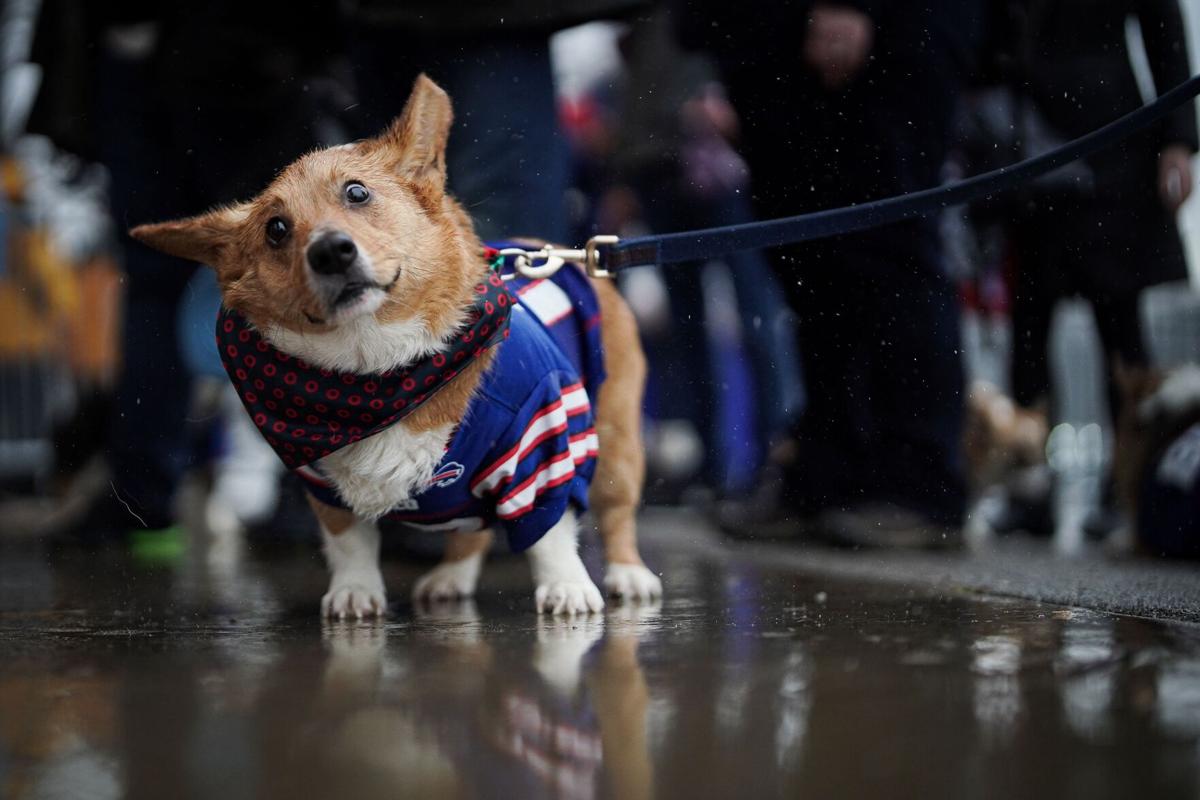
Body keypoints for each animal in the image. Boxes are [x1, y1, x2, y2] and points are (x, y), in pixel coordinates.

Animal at [131, 74, 667, 618]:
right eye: (276, 229)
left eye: (357, 192)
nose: (331, 251)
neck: (380, 372)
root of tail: (551, 251)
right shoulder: (324, 487)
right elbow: (350, 543)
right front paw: (355, 592)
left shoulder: (541, 449)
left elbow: (549, 534)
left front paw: (567, 586)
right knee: (470, 533)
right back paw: (451, 579)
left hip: (617, 442)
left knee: (616, 514)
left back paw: (628, 574)